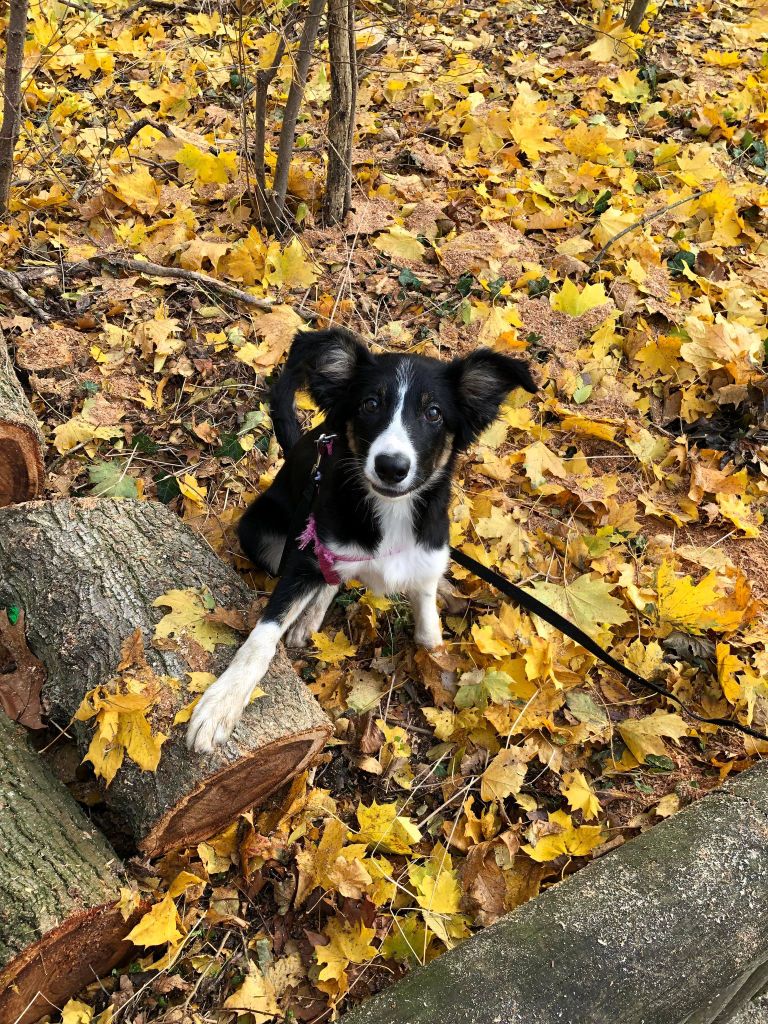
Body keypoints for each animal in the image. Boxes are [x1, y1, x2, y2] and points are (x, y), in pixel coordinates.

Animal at [188, 329, 536, 753]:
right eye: (370, 404)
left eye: (433, 413)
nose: (391, 467)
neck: (390, 513)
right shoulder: (304, 555)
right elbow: (263, 635)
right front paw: (222, 703)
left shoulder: (427, 556)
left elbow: (429, 631)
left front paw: (443, 672)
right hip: (265, 535)